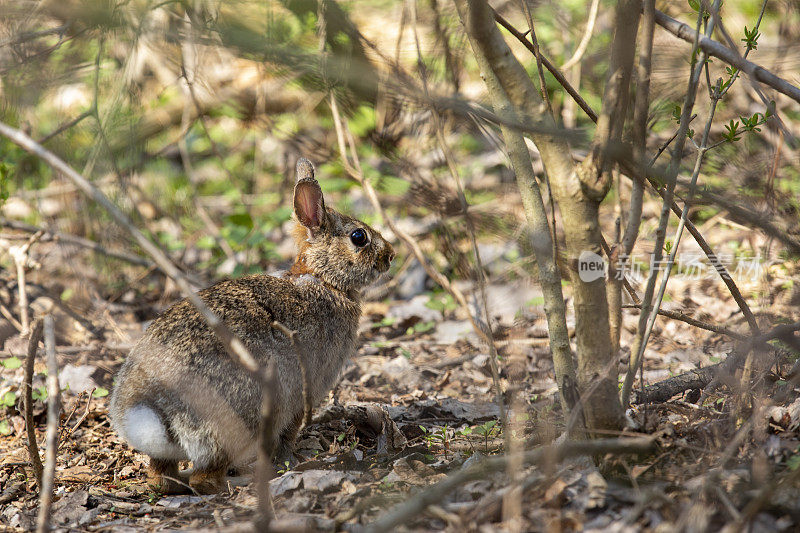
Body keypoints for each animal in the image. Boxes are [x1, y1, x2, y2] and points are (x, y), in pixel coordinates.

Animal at [108, 158, 396, 494]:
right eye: (358, 237)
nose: (390, 256)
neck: (324, 279)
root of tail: (153, 405)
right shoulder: (302, 394)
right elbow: (288, 435)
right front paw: (290, 462)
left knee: (160, 478)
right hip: (241, 415)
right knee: (205, 479)